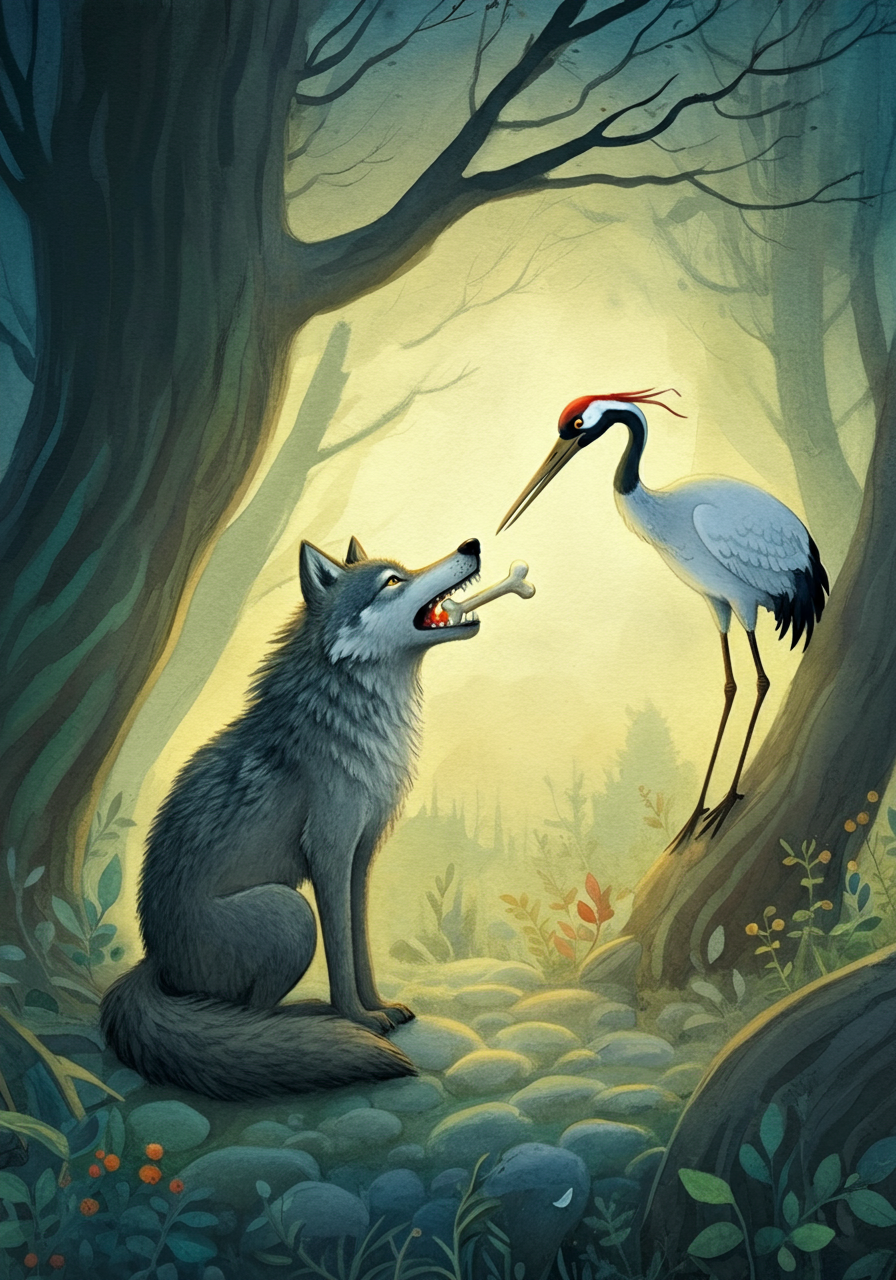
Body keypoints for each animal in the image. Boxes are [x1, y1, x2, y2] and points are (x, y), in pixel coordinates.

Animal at [100, 536, 482, 1100]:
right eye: (393, 581)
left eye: (403, 570)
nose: (471, 544)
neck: (355, 722)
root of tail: (156, 962)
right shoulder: (328, 853)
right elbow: (340, 953)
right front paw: (359, 1020)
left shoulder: (360, 857)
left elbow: (359, 943)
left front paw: (379, 1006)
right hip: (290, 911)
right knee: (243, 1015)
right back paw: (306, 1020)